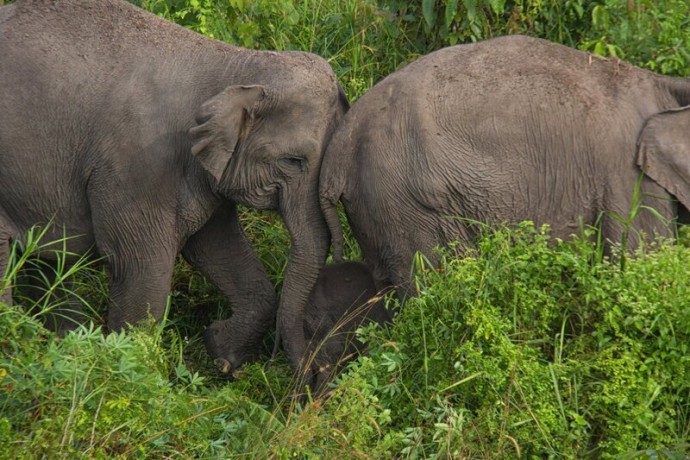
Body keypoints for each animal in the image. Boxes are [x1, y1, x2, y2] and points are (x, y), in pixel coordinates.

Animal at [0, 0, 346, 374]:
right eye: (294, 161)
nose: (316, 373)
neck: (237, 64)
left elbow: (216, 245)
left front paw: (221, 353)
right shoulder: (138, 167)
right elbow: (140, 265)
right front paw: (130, 369)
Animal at [316, 35, 688, 306]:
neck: (665, 85)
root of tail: (340, 144)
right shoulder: (629, 181)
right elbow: (641, 262)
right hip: (402, 203)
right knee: (432, 283)